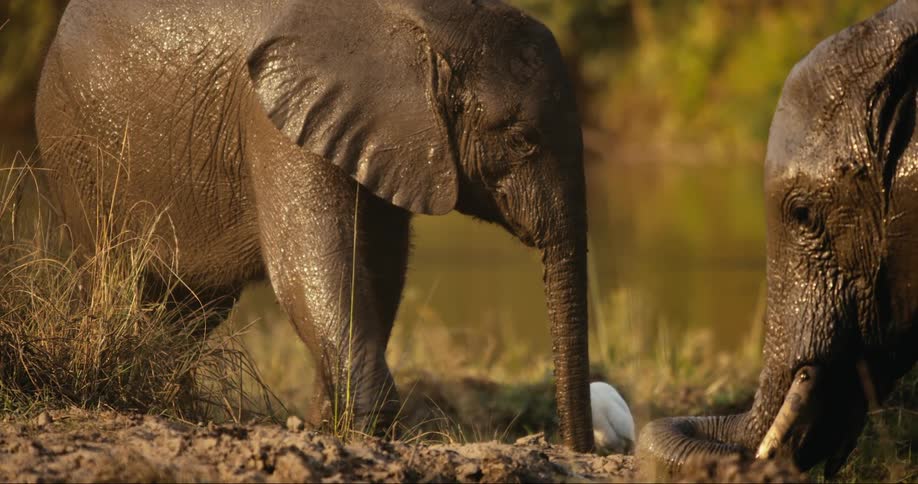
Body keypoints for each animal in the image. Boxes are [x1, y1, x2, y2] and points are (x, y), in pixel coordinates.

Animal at [34, 0, 593, 450]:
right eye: (521, 140)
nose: (579, 451)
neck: (428, 24)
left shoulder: (385, 136)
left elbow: (378, 270)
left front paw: (331, 425)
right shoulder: (277, 121)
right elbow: (315, 269)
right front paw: (363, 431)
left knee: (187, 309)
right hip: (78, 151)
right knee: (119, 280)